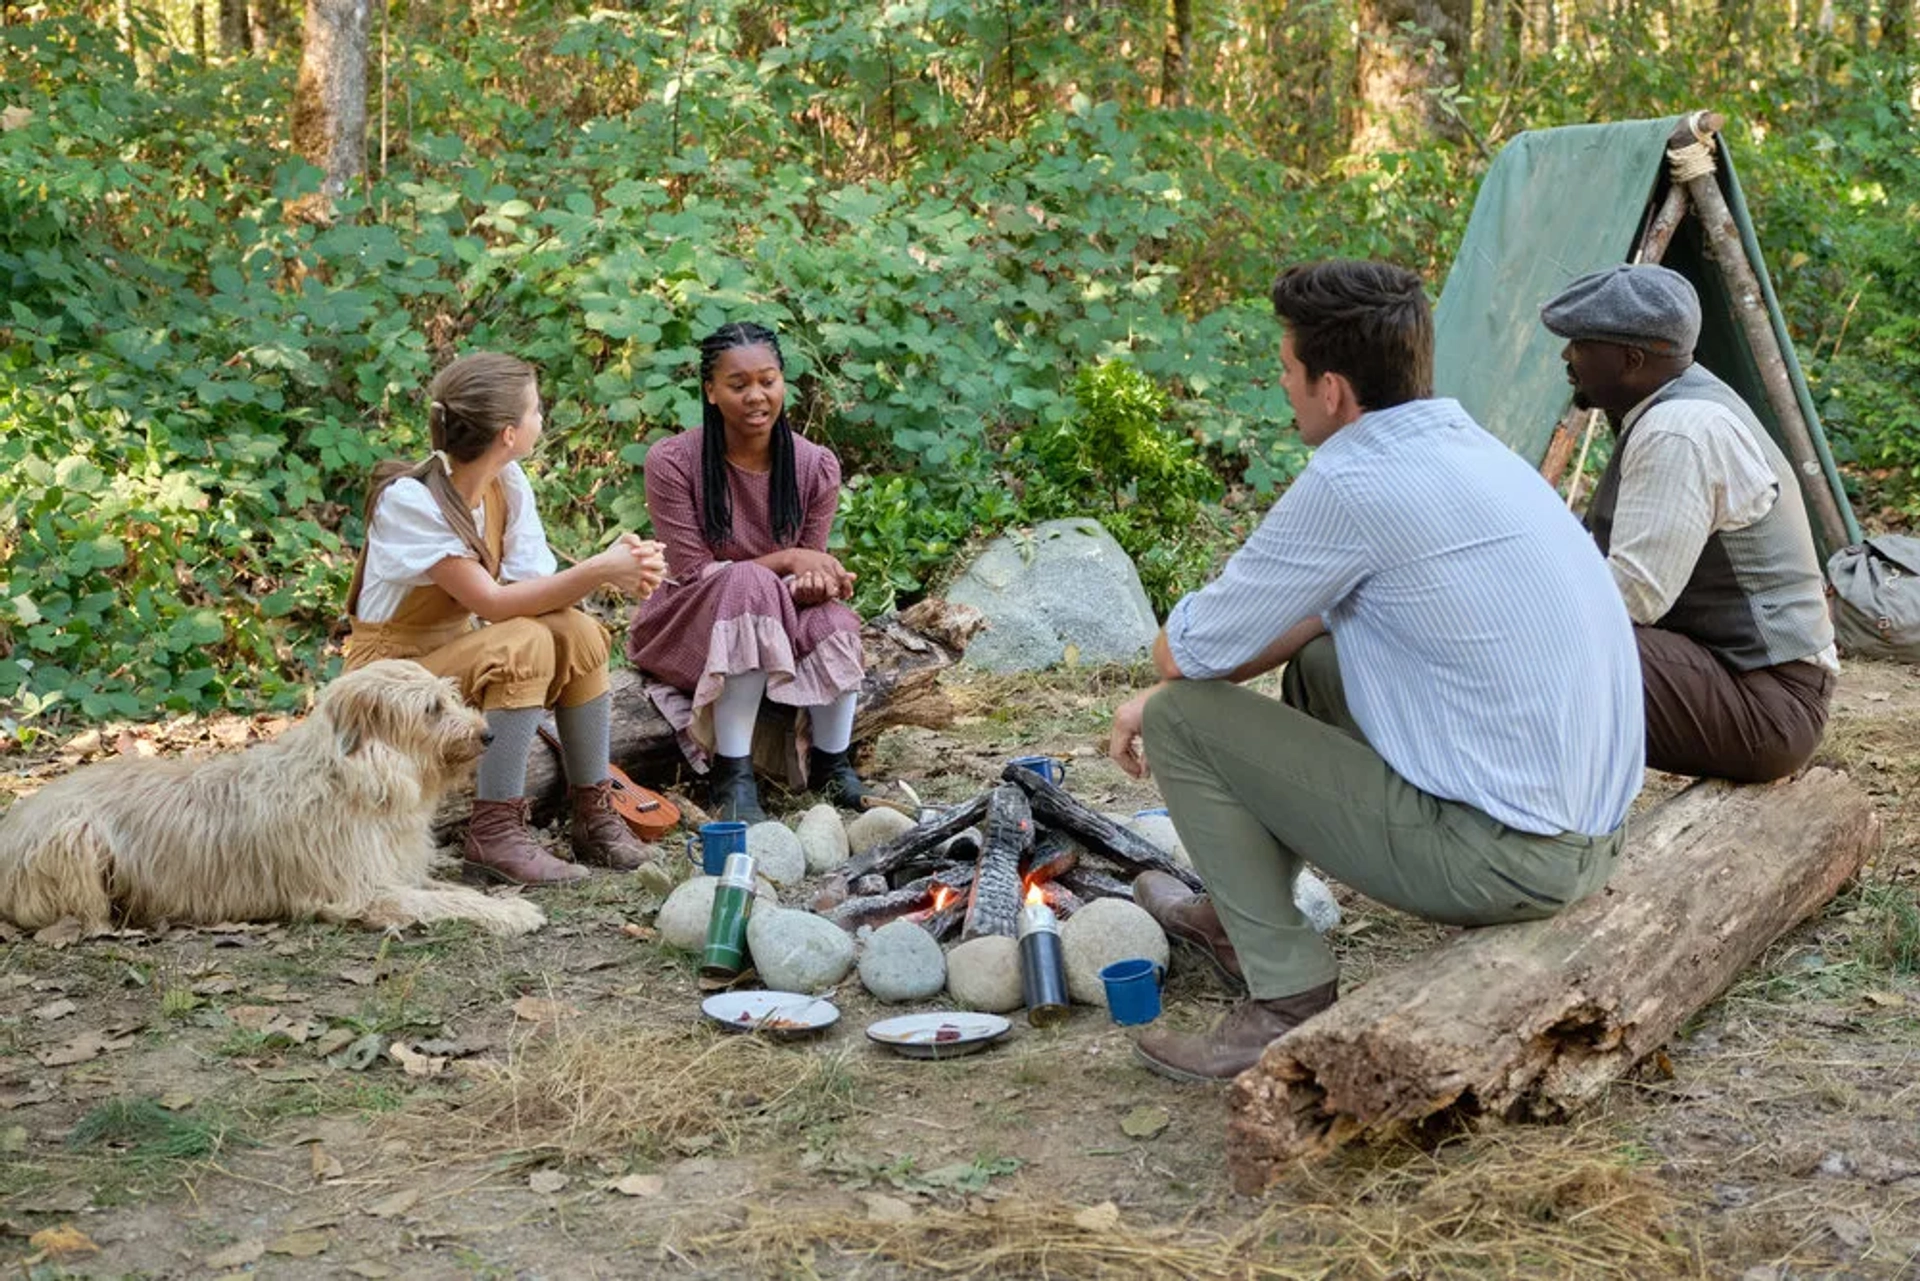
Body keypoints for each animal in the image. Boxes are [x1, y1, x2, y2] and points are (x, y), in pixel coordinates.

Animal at [0, 668, 545, 937]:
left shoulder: (394, 871)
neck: (355, 777)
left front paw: (499, 901)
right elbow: (442, 900)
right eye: (432, 708)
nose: (488, 734)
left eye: (449, 698)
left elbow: (447, 890)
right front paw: (512, 915)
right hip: (74, 839)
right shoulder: (358, 891)